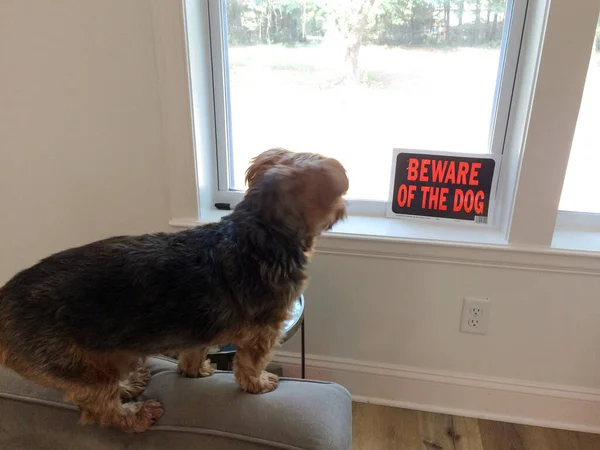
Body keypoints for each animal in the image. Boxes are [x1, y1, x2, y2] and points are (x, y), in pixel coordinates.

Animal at [0, 148, 346, 432]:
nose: (345, 206)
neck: (260, 231)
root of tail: (4, 301)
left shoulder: (198, 328)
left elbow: (193, 352)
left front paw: (195, 370)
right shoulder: (264, 331)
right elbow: (249, 365)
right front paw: (258, 384)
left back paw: (129, 384)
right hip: (74, 365)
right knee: (99, 406)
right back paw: (136, 414)